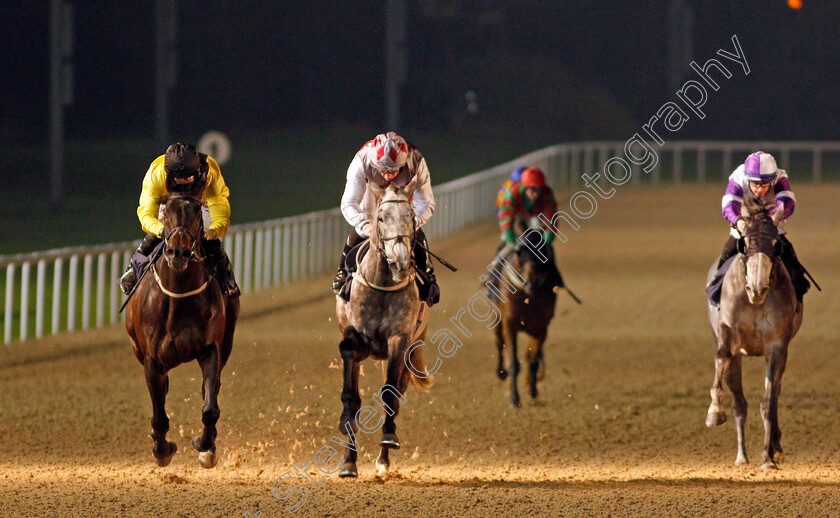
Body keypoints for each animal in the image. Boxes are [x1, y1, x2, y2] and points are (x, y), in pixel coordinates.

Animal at [126, 196, 241, 472]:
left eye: (197, 215)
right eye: (167, 214)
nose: (178, 251)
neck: (177, 297)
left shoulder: (211, 348)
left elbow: (210, 407)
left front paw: (205, 446)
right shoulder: (151, 360)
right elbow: (159, 413)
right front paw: (162, 450)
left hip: (227, 342)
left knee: (211, 389)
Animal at [334, 182, 434, 480]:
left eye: (410, 217)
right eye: (380, 218)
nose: (400, 262)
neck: (382, 286)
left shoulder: (399, 341)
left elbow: (389, 394)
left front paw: (388, 439)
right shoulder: (355, 338)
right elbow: (352, 398)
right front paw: (348, 449)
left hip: (411, 350)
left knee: (397, 396)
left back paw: (383, 461)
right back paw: (350, 461)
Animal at [492, 223, 556, 410]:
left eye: (544, 251)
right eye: (520, 251)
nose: (532, 281)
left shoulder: (541, 327)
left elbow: (532, 360)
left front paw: (533, 389)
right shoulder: (510, 323)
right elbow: (513, 362)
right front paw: (515, 399)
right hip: (496, 319)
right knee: (500, 344)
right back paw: (501, 373)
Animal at [704, 211, 804, 472]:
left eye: (776, 245)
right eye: (744, 244)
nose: (757, 289)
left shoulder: (777, 345)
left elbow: (768, 401)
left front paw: (768, 458)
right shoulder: (728, 334)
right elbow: (720, 359)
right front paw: (714, 412)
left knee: (774, 394)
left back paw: (773, 448)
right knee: (739, 403)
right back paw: (741, 455)